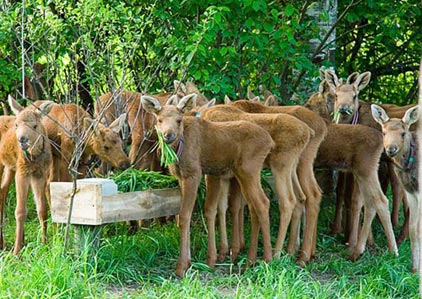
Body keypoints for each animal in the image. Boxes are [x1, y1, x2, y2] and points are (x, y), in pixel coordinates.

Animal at [0, 96, 53, 255]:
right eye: (16, 124)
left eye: (35, 126)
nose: (22, 139)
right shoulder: (22, 173)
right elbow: (20, 211)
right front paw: (17, 251)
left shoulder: (39, 174)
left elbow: (42, 209)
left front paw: (44, 244)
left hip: (10, 167)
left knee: (2, 192)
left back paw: (3, 243)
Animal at [140, 93, 276, 276]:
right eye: (159, 120)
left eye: (179, 120)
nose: (168, 135)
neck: (179, 149)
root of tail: (270, 142)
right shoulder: (182, 177)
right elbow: (186, 215)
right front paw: (190, 261)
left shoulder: (194, 174)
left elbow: (184, 216)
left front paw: (182, 266)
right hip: (243, 175)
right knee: (254, 206)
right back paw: (250, 260)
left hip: (249, 170)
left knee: (262, 203)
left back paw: (267, 259)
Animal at [372, 104, 418, 274]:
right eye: (384, 132)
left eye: (403, 133)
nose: (391, 149)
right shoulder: (412, 193)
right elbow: (414, 229)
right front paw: (414, 269)